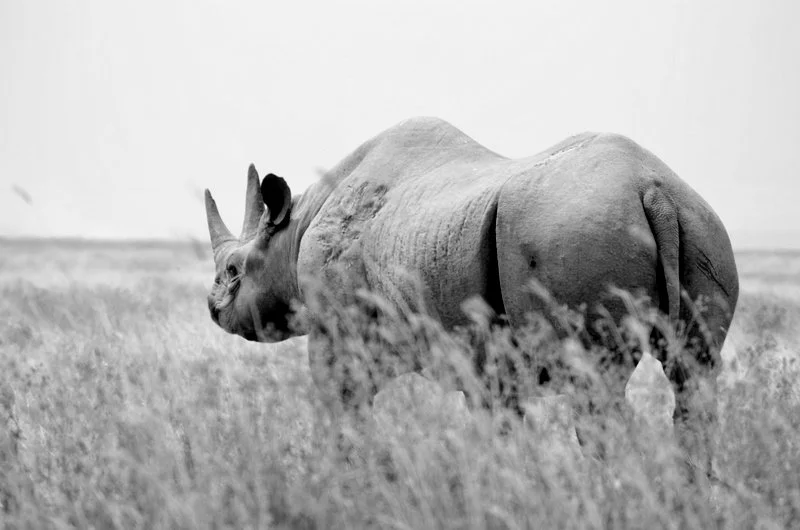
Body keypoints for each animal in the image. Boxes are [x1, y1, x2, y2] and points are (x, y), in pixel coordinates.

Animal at [204, 117, 738, 472]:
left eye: (233, 271)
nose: (213, 309)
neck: (294, 231)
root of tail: (653, 191)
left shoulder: (342, 333)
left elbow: (343, 406)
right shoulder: (484, 360)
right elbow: (498, 427)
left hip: (578, 232)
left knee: (598, 392)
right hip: (699, 223)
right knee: (693, 378)